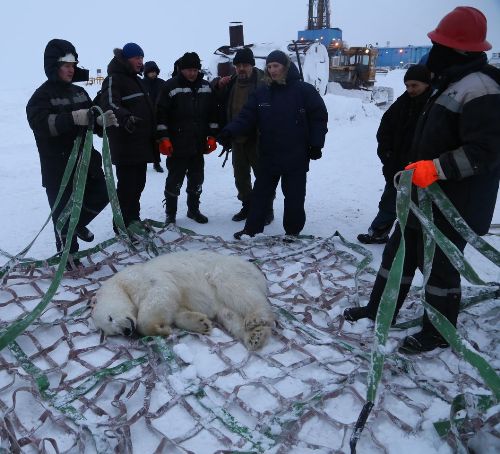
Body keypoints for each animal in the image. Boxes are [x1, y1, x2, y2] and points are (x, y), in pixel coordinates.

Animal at [92, 250, 276, 350]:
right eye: (113, 333)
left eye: (110, 317)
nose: (126, 331)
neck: (121, 283)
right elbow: (177, 311)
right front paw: (201, 323)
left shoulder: (142, 278)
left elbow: (160, 294)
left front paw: (158, 329)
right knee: (228, 315)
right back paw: (255, 336)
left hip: (224, 271)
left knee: (238, 291)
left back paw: (255, 318)